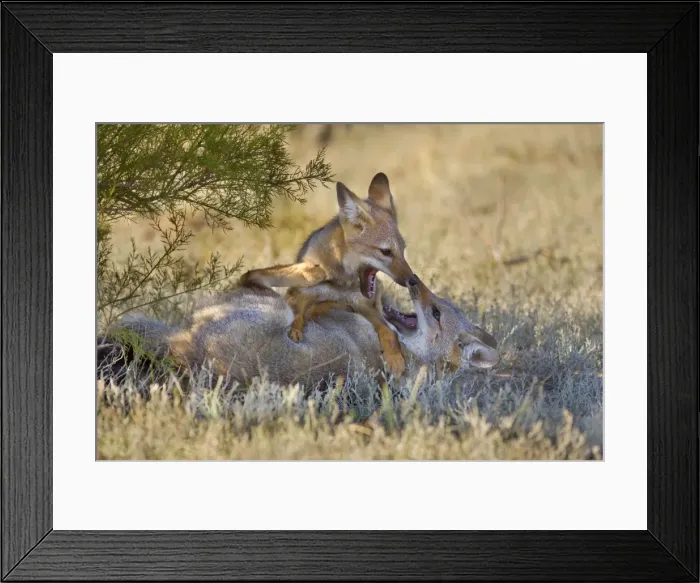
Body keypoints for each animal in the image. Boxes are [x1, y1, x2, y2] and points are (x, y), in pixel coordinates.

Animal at [238, 172, 417, 377]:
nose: (413, 280)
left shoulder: (364, 305)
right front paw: (295, 329)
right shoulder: (303, 292)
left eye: (402, 249)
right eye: (386, 252)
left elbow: (388, 331)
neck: (340, 285)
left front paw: (395, 359)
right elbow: (298, 310)